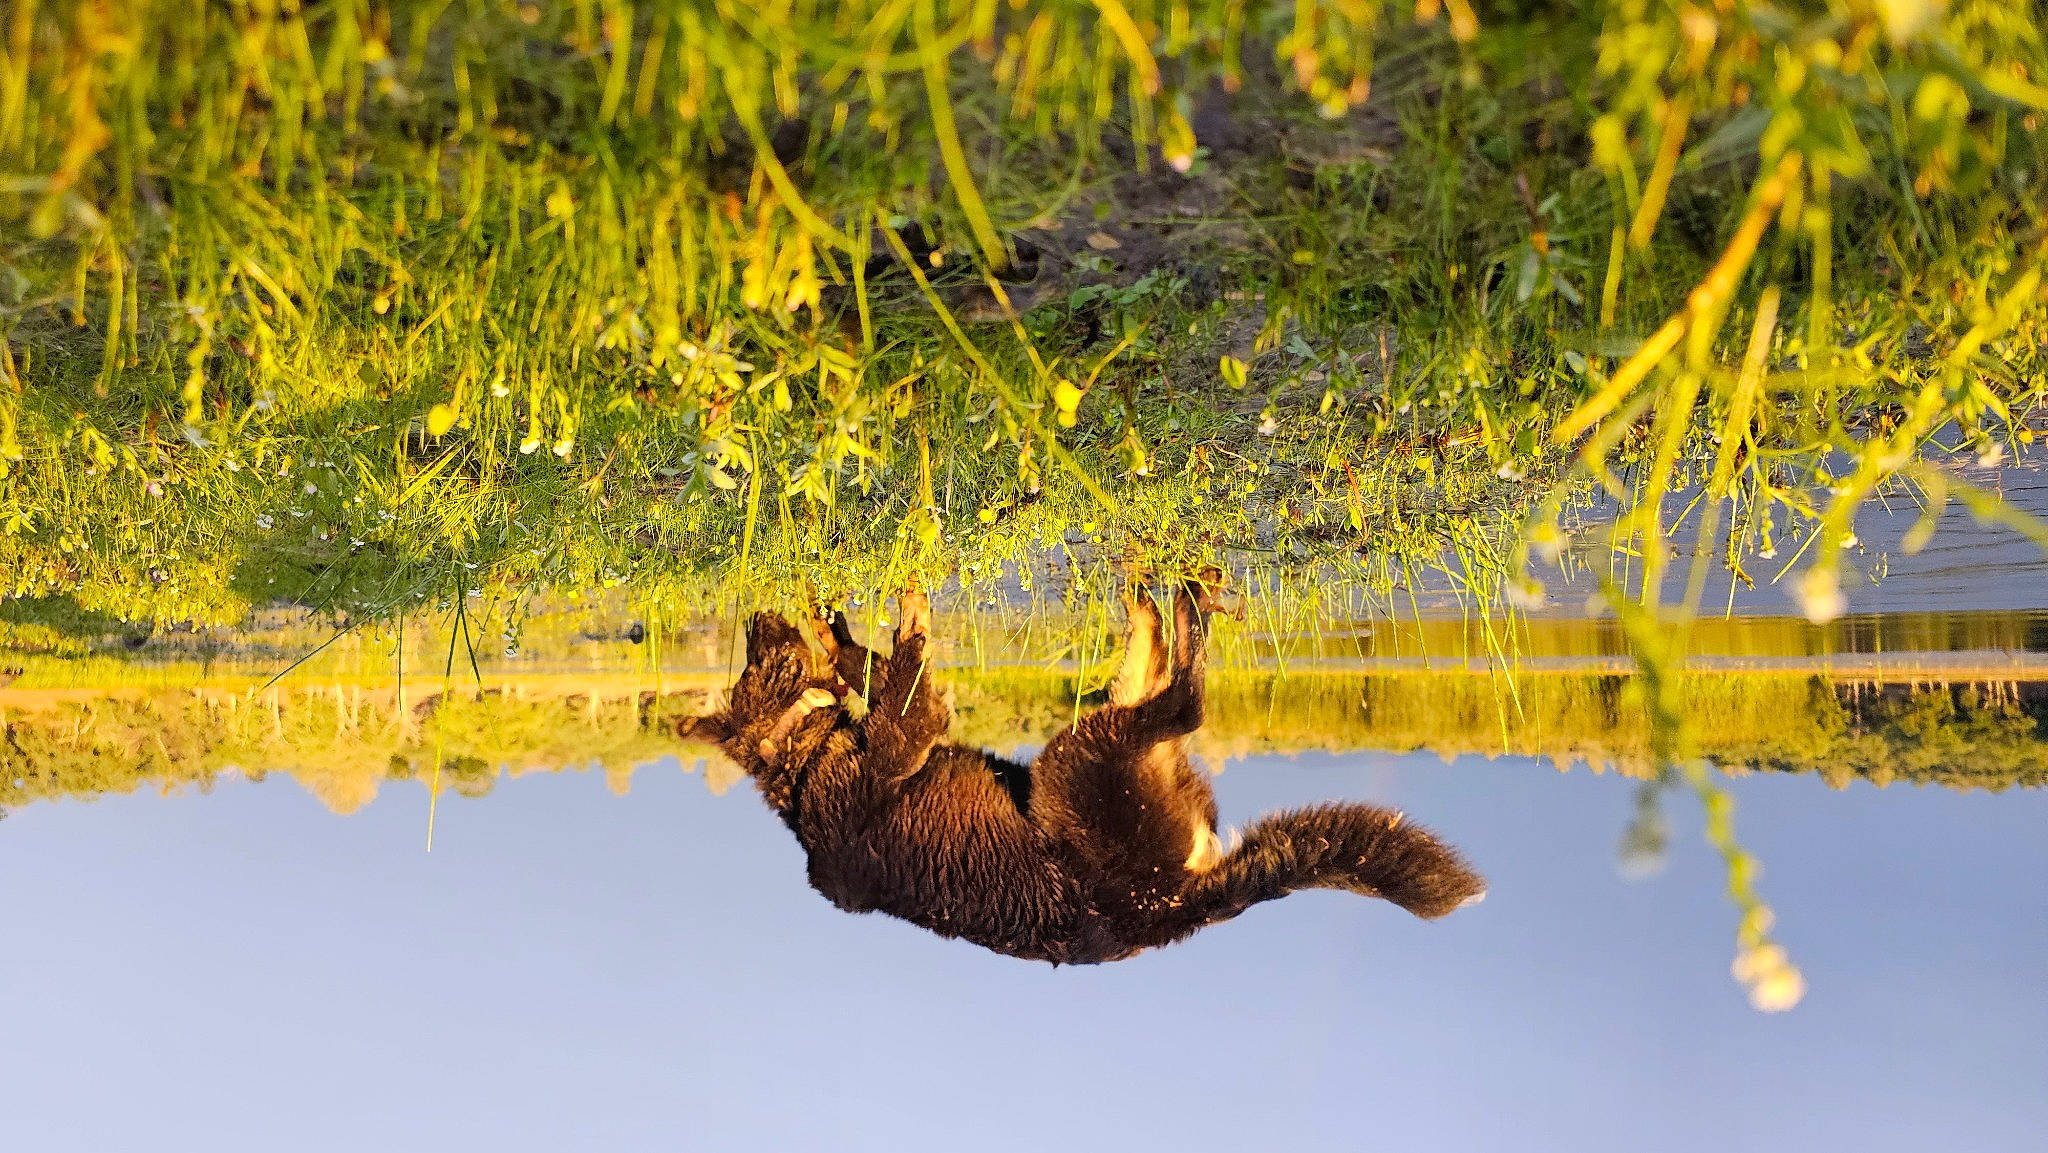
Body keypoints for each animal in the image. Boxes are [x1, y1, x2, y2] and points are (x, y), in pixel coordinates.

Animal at [678, 575, 1486, 964]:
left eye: (754, 656)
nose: (753, 617)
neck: (797, 761)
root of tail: (1180, 901)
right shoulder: (906, 740)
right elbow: (905, 680)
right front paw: (900, 617)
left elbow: (871, 671)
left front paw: (835, 628)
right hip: (1079, 762)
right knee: (1182, 700)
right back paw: (1181, 609)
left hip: (1109, 755)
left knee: (1154, 680)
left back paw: (1159, 606)